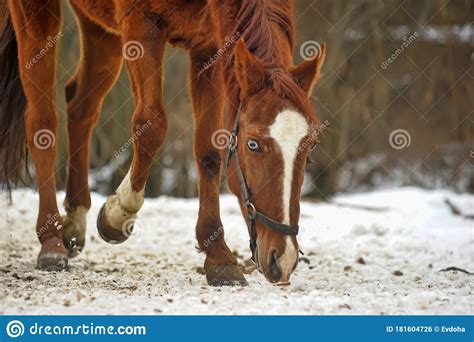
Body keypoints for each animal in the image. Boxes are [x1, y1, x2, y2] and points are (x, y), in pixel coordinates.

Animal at [0, 0, 326, 286]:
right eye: (253, 144)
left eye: (310, 147)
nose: (283, 258)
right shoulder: (141, 26)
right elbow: (151, 125)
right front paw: (117, 215)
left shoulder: (209, 47)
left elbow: (209, 150)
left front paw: (217, 254)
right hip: (37, 14)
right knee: (42, 123)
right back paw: (51, 240)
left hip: (99, 28)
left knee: (82, 106)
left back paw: (75, 218)